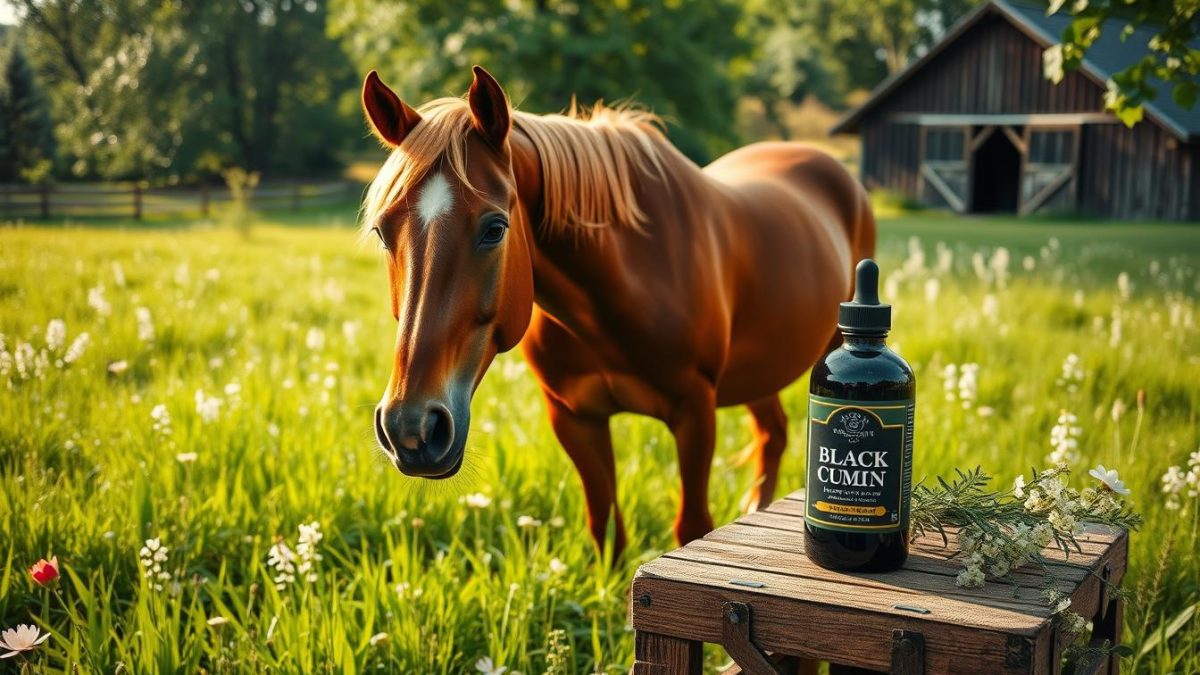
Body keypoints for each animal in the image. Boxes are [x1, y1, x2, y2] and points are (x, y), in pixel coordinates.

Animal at [360, 65, 875, 557]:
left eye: (494, 228)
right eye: (383, 231)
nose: (411, 429)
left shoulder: (695, 412)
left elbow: (692, 526)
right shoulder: (574, 419)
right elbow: (605, 530)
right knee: (772, 435)